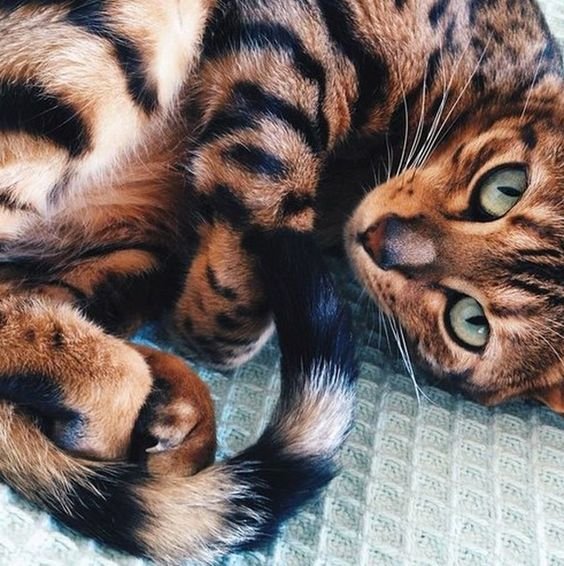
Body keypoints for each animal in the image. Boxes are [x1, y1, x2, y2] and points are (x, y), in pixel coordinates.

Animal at [0, 0, 560, 564]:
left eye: (469, 322)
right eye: (503, 187)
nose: (382, 240)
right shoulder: (306, 43)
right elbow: (269, 206)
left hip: (124, 252)